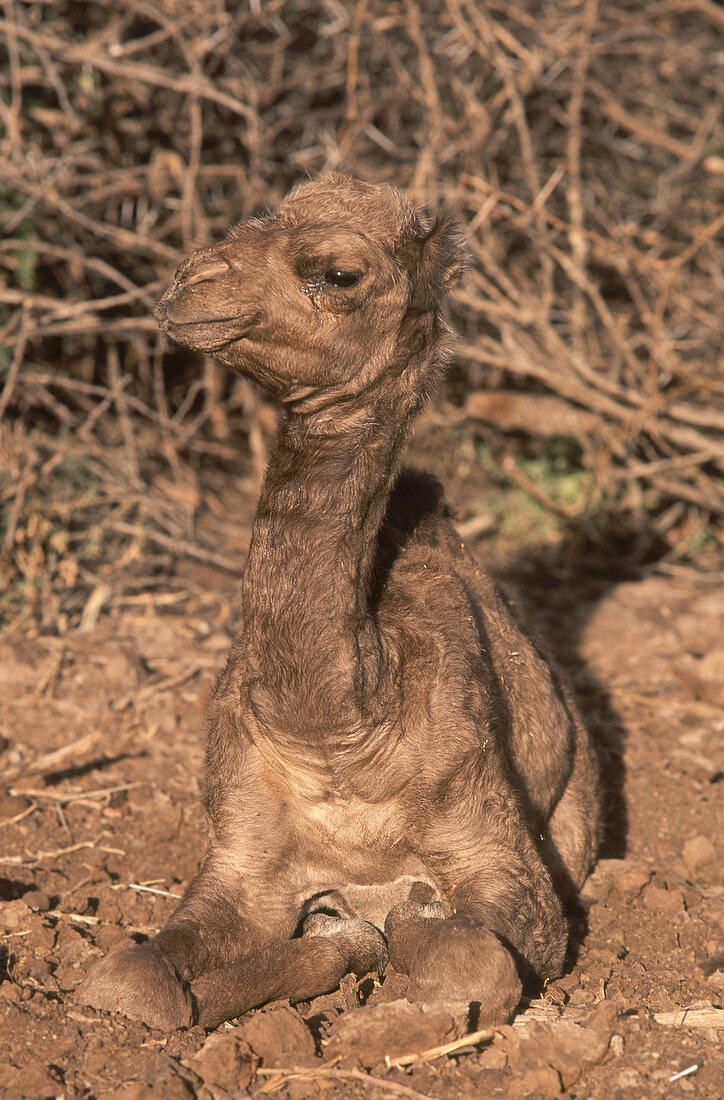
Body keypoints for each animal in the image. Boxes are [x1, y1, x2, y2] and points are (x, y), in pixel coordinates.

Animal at [75, 173, 598, 1029]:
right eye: (255, 219)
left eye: (339, 273)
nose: (190, 284)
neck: (339, 733)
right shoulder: (242, 860)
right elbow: (129, 978)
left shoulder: (497, 853)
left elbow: (466, 955)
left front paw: (390, 923)